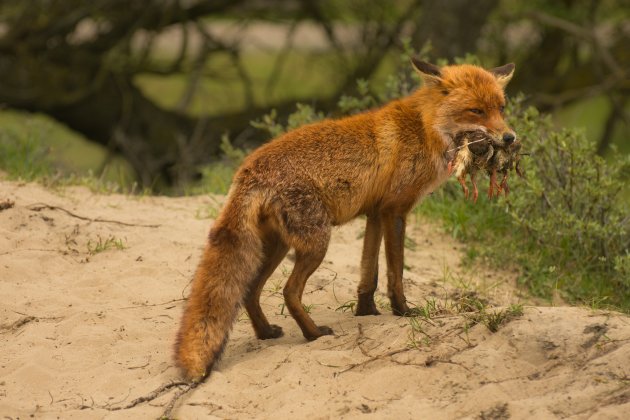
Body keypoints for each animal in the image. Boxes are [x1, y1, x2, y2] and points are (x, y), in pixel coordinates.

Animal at [175, 57, 516, 382]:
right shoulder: (395, 211)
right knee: (289, 291)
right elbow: (395, 273)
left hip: (278, 247)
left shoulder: (375, 213)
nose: (510, 138)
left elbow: (369, 273)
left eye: (501, 108)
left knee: (250, 291)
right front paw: (403, 311)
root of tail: (247, 170)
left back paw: (267, 332)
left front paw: (366, 311)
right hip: (316, 244)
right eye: (476, 111)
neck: (425, 128)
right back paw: (313, 334)